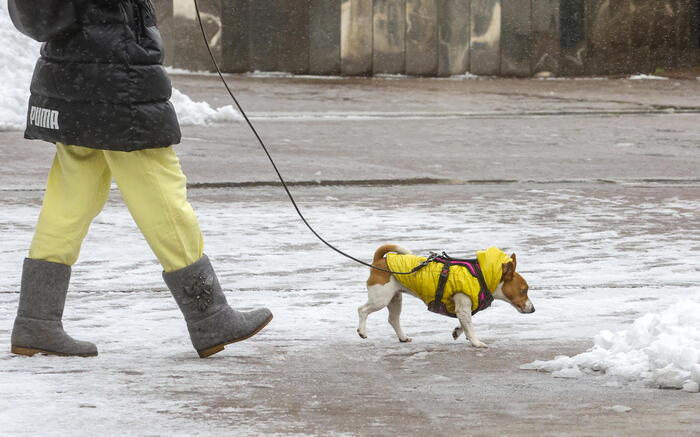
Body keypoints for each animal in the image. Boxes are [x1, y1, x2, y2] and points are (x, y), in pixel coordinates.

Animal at [358, 242, 532, 348]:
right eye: (524, 290)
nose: (533, 309)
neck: (483, 276)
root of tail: (379, 260)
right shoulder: (463, 306)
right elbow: (470, 326)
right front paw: (476, 342)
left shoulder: (462, 309)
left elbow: (465, 323)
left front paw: (458, 331)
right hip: (380, 299)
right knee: (362, 310)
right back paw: (362, 331)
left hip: (395, 298)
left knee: (393, 319)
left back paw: (403, 337)